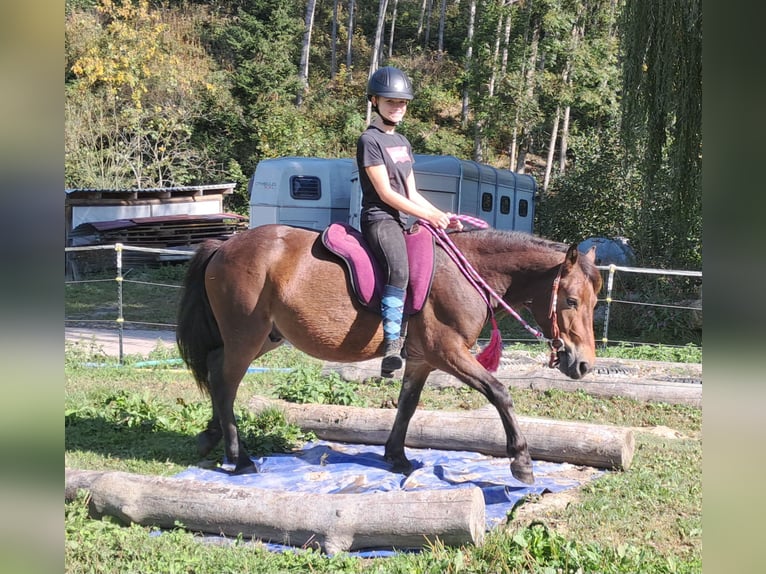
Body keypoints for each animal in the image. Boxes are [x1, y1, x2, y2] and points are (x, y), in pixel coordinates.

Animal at [177, 223, 604, 484]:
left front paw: (396, 457)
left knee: (217, 371)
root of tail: (224, 245)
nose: (583, 363)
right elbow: (500, 393)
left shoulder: (422, 360)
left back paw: (212, 436)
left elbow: (407, 406)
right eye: (570, 300)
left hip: (265, 336)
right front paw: (522, 462)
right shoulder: (448, 352)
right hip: (246, 337)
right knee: (226, 382)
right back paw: (240, 457)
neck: (466, 273)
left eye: (594, 303)